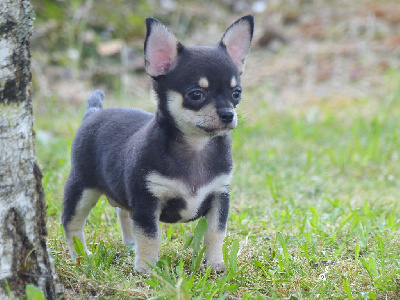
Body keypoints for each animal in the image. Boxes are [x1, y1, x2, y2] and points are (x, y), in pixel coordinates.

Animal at [62, 15, 255, 274]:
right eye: (196, 94)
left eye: (237, 93)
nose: (228, 114)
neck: (196, 146)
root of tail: (93, 112)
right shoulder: (147, 201)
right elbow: (150, 236)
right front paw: (146, 269)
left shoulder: (219, 196)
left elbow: (215, 233)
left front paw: (215, 265)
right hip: (82, 187)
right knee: (71, 223)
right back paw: (81, 257)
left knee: (123, 213)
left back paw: (129, 245)